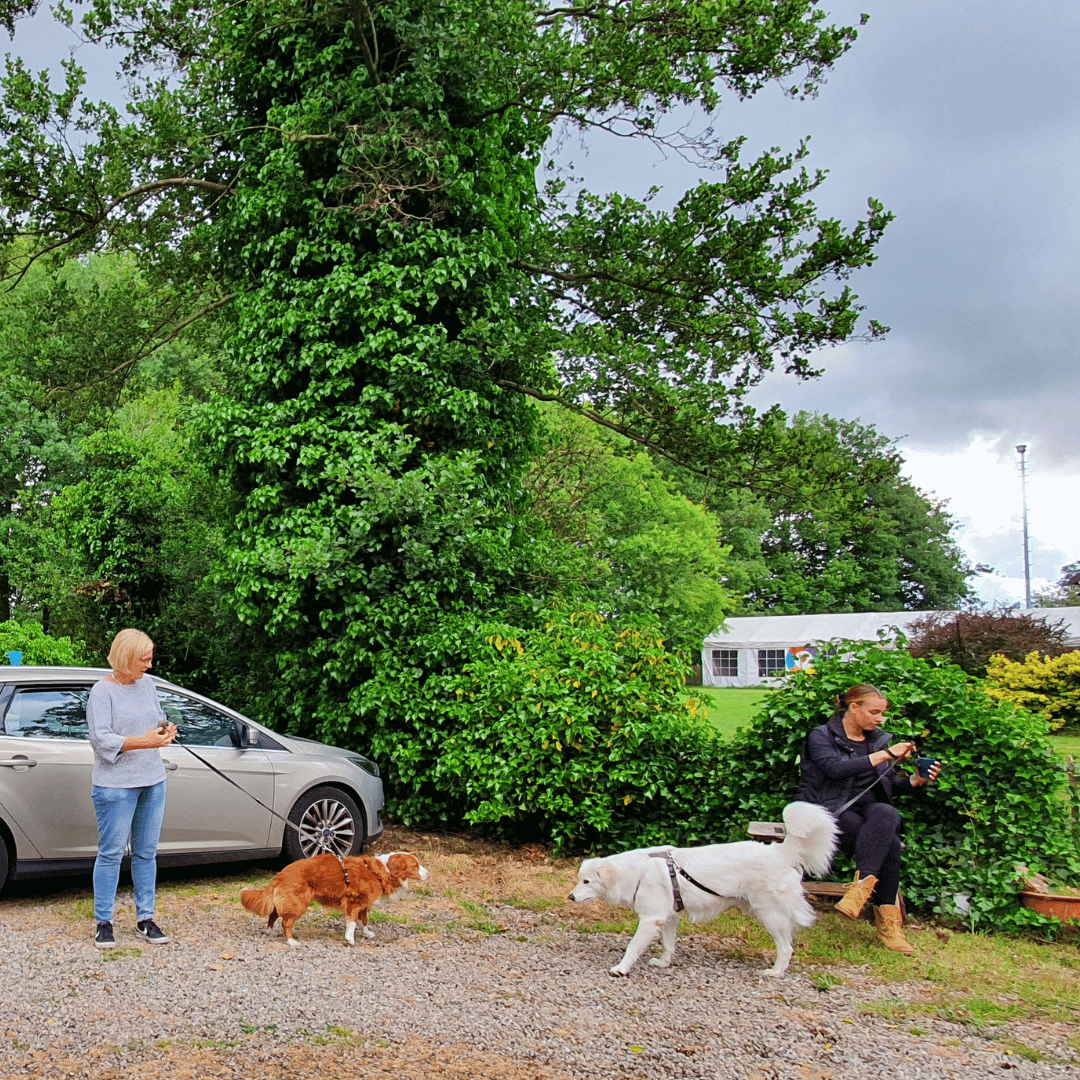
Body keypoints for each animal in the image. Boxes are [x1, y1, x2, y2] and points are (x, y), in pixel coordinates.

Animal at [243, 851, 427, 946]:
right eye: (415, 866)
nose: (429, 874)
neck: (381, 871)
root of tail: (281, 872)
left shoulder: (364, 904)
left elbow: (364, 921)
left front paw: (367, 933)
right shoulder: (354, 901)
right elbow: (352, 922)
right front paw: (350, 938)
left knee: (273, 914)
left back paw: (269, 931)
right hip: (299, 903)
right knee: (285, 922)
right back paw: (291, 941)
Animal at [570, 803, 838, 980]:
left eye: (586, 882)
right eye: (580, 880)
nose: (570, 897)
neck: (639, 871)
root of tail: (778, 851)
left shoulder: (650, 919)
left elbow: (633, 946)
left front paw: (621, 968)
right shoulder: (670, 917)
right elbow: (668, 944)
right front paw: (664, 963)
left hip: (769, 914)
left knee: (786, 947)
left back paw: (775, 972)